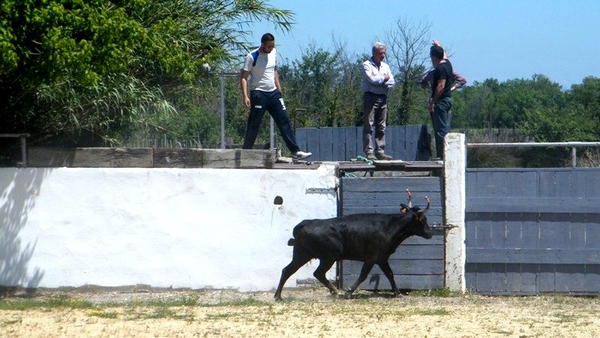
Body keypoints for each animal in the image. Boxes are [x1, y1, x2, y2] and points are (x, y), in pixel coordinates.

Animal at [274, 197, 434, 300]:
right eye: (423, 220)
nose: (430, 233)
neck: (389, 227)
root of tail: (305, 223)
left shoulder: (382, 258)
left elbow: (390, 274)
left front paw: (398, 293)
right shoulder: (371, 258)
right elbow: (363, 275)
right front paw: (349, 293)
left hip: (302, 254)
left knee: (288, 270)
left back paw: (278, 296)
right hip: (328, 257)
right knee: (316, 273)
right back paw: (335, 292)